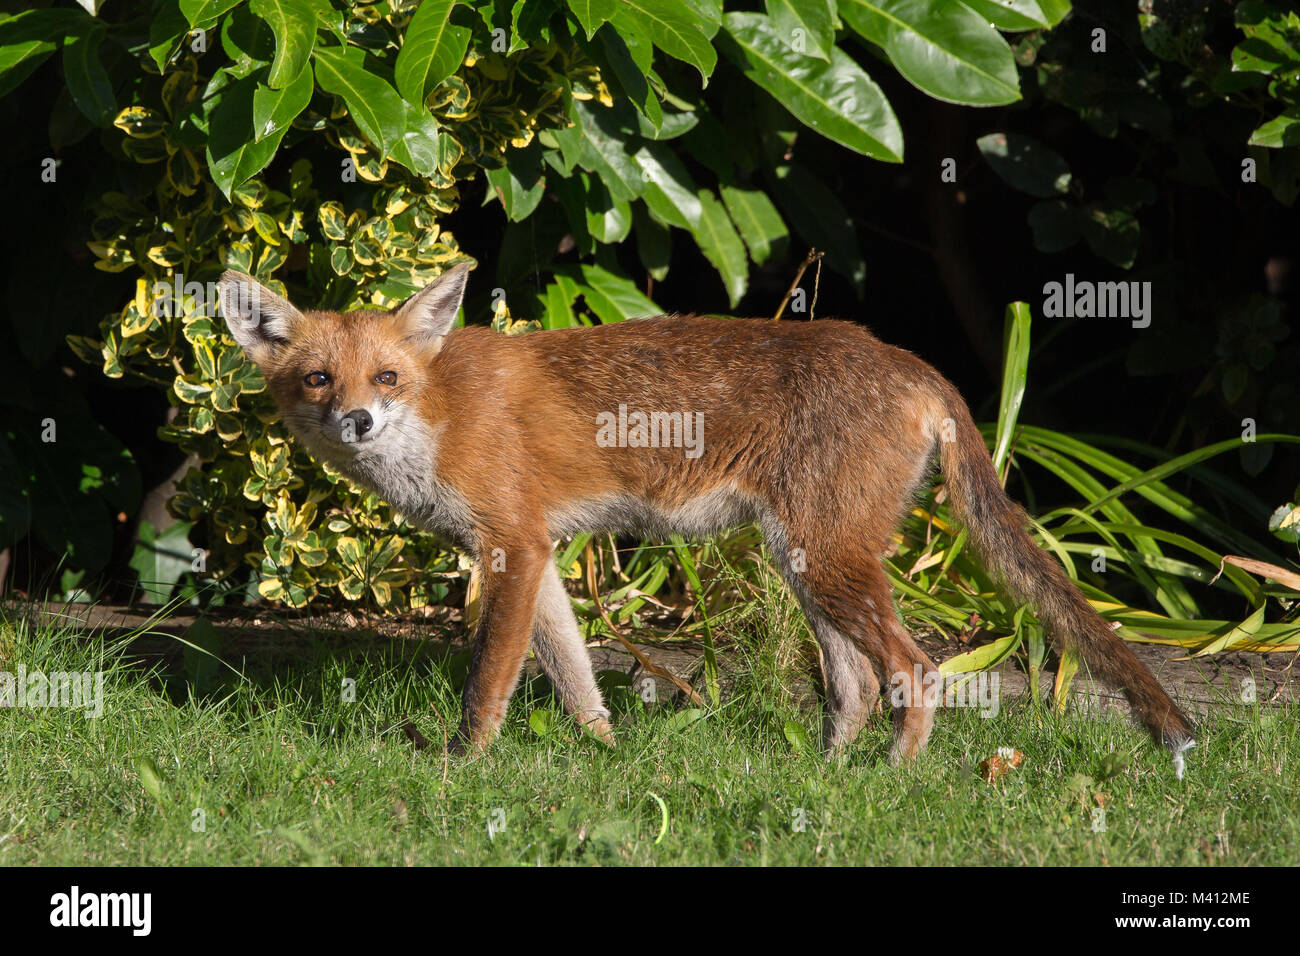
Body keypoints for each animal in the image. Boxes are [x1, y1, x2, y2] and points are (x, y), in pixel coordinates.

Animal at [218, 262, 1196, 771]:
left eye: (386, 377)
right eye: (319, 379)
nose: (357, 420)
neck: (441, 412)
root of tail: (907, 359)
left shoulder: (511, 548)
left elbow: (489, 680)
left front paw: (462, 768)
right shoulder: (541, 555)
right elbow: (575, 679)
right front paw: (606, 756)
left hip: (827, 562)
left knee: (916, 671)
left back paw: (894, 779)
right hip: (806, 562)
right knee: (855, 685)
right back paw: (830, 777)